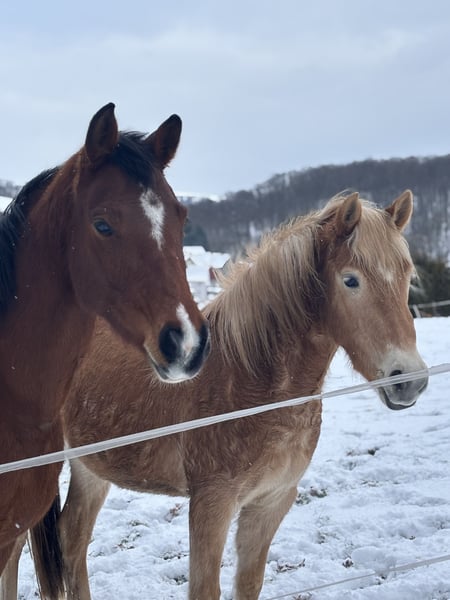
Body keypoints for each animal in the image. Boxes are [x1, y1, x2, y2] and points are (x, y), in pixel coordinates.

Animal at [16, 190, 428, 600]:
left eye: (408, 277)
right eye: (350, 280)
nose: (408, 379)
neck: (252, 381)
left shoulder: (271, 503)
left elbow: (248, 584)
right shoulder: (211, 504)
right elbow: (205, 588)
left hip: (91, 468)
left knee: (71, 539)